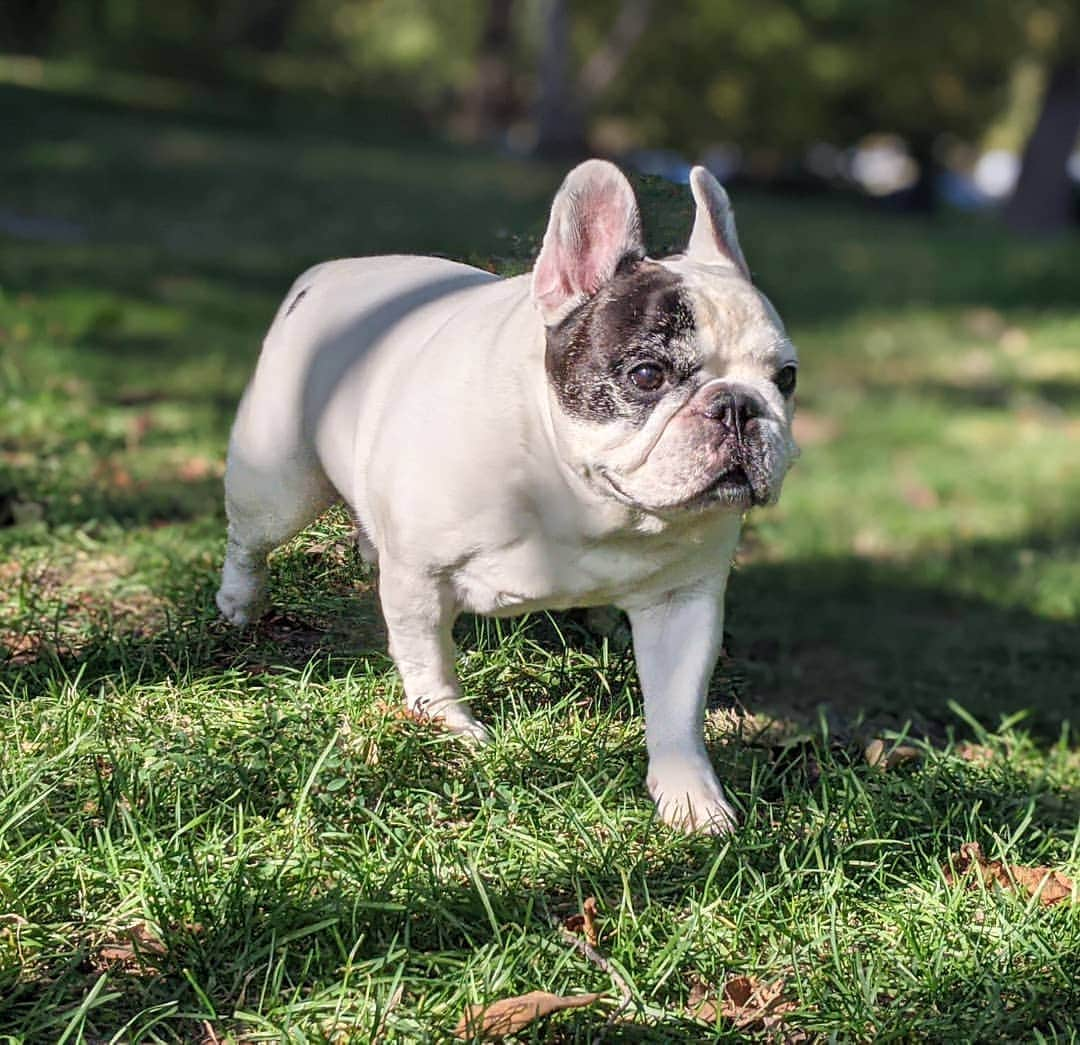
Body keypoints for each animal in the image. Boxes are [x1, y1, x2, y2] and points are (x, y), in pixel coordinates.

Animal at [219, 160, 799, 833]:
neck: (580, 494)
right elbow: (428, 657)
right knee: (249, 541)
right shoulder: (420, 578)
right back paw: (238, 604)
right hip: (279, 481)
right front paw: (448, 726)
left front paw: (692, 801)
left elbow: (677, 710)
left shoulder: (683, 603)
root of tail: (325, 274)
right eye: (647, 375)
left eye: (786, 378)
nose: (739, 406)